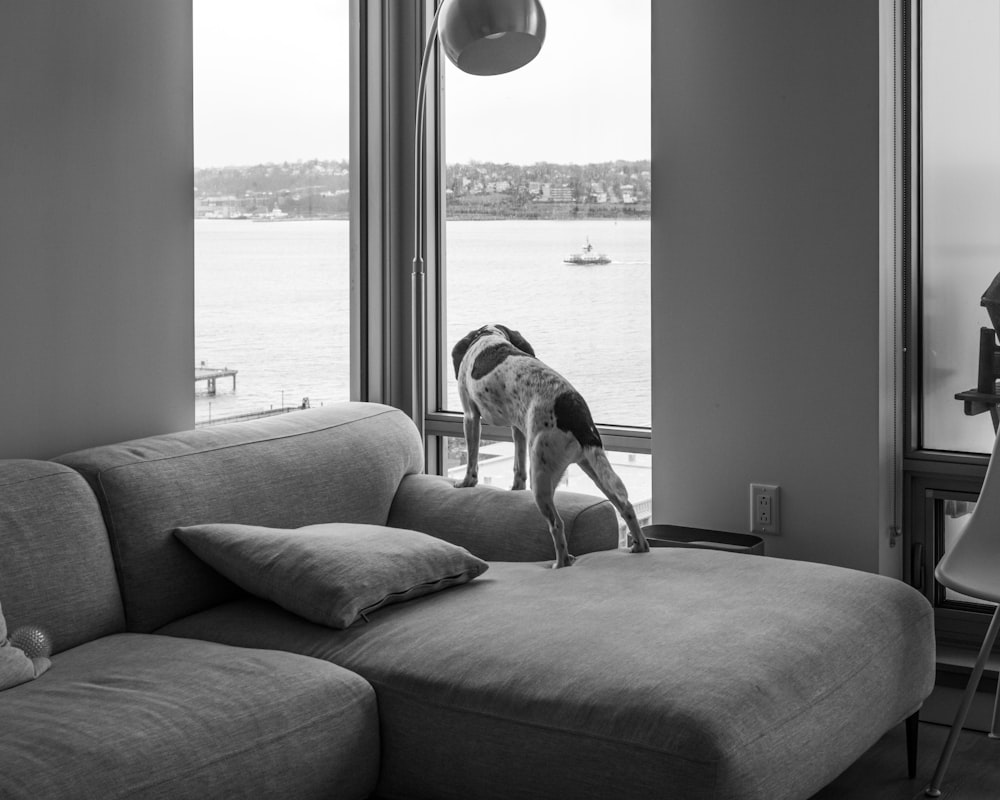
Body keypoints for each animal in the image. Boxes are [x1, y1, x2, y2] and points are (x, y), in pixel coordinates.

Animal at [452, 322, 652, 564]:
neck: (490, 337)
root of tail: (575, 413)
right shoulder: (518, 428)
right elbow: (518, 468)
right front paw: (515, 489)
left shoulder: (470, 416)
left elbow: (472, 461)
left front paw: (466, 483)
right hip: (594, 468)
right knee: (625, 506)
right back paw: (640, 546)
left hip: (541, 479)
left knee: (557, 524)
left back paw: (561, 562)